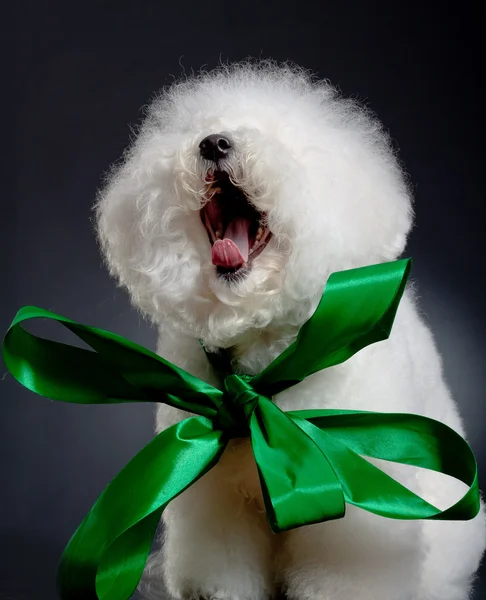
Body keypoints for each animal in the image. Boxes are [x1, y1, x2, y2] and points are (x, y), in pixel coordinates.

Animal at [96, 61, 486, 600]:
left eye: (278, 139)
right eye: (200, 127)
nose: (214, 143)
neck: (260, 370)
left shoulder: (350, 505)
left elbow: (345, 575)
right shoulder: (215, 499)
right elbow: (223, 568)